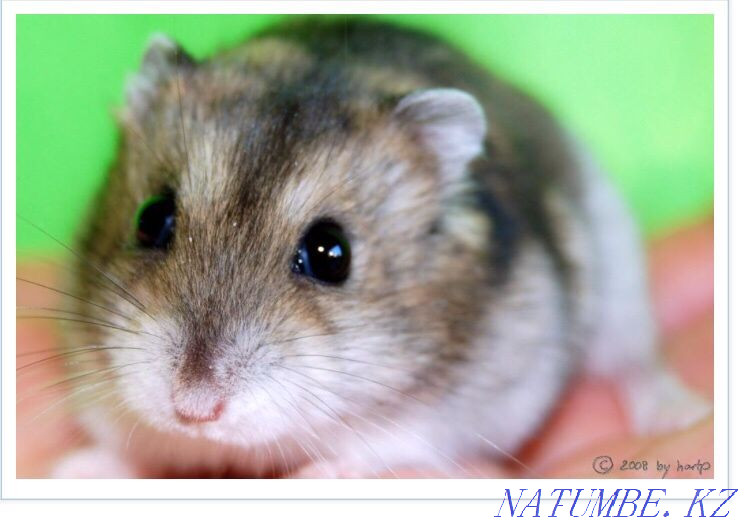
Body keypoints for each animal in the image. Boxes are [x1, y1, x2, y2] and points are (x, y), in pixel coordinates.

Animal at [49, 18, 708, 478]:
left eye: (330, 254)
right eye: (151, 218)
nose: (193, 410)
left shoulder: (470, 399)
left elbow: (382, 443)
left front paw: (319, 473)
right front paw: (77, 469)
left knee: (636, 361)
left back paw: (681, 413)